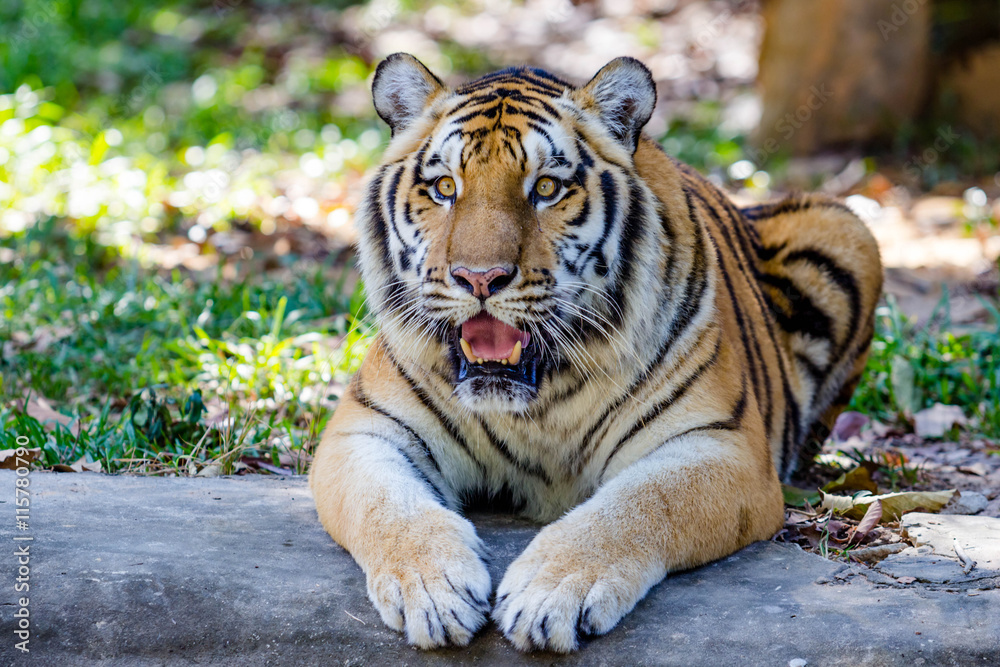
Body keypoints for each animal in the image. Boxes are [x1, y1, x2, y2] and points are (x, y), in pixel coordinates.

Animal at [309, 53, 883, 652]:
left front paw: (549, 593)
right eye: (445, 186)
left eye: (546, 188)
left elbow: (641, 504)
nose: (479, 278)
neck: (536, 404)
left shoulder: (722, 445)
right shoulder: (365, 431)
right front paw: (433, 587)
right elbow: (387, 506)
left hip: (845, 225)